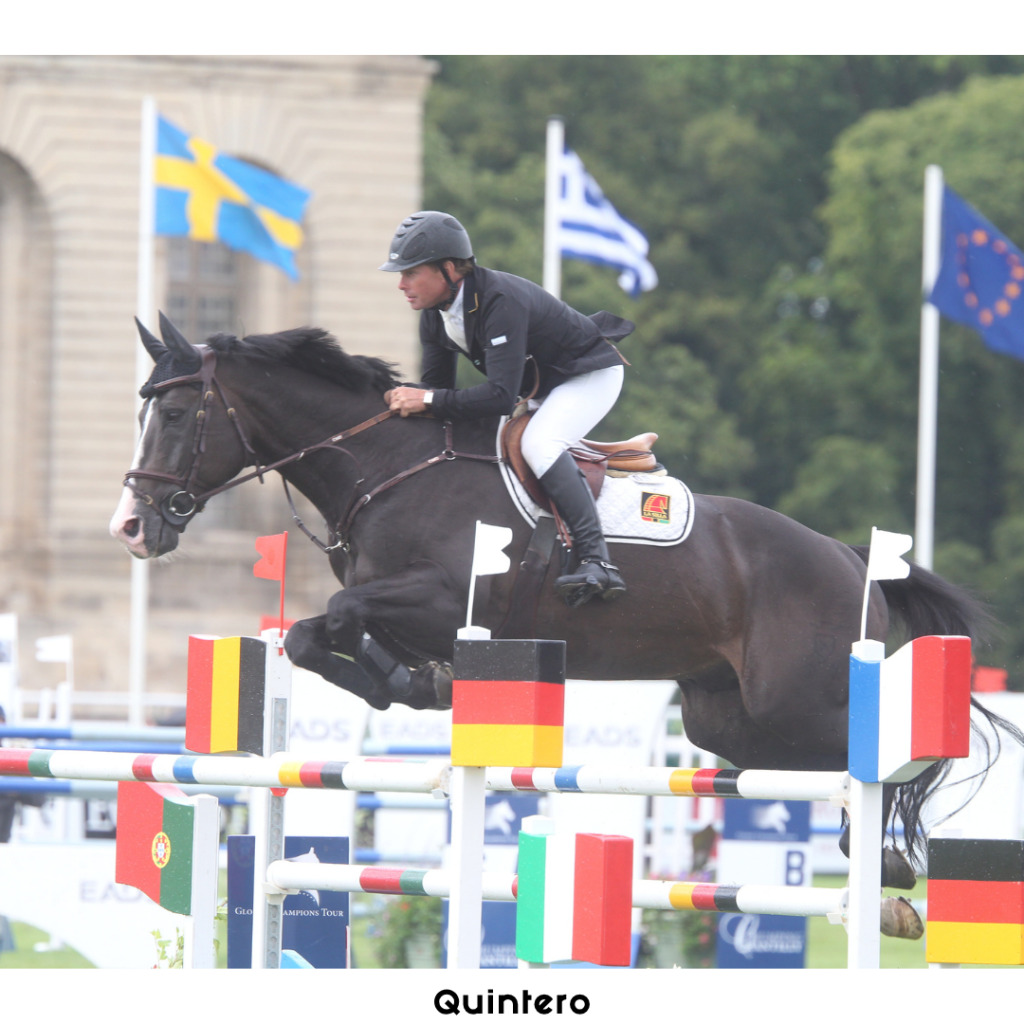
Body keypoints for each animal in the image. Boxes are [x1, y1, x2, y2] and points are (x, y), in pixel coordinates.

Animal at [110, 314, 1023, 933]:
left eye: (179, 417)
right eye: (145, 413)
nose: (133, 527)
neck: (385, 466)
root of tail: (847, 557)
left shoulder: (443, 597)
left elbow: (338, 615)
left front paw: (421, 681)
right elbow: (312, 635)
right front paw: (417, 684)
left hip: (794, 697)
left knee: (883, 754)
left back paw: (890, 864)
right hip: (729, 720)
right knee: (819, 762)